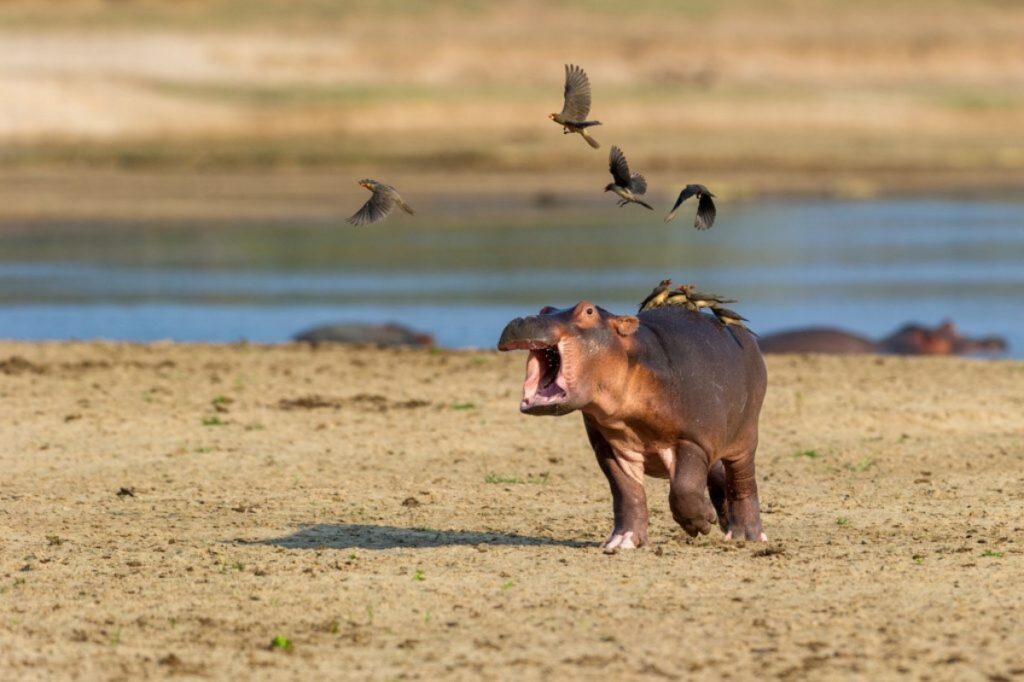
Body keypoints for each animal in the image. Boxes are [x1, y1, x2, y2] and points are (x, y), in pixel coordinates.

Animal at [495, 301, 770, 548]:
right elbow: (627, 493)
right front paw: (622, 541)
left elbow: (684, 487)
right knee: (718, 473)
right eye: (544, 309)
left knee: (742, 481)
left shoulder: (692, 439)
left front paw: (701, 523)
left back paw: (745, 535)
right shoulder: (609, 447)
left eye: (589, 310)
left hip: (745, 437)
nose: (526, 319)